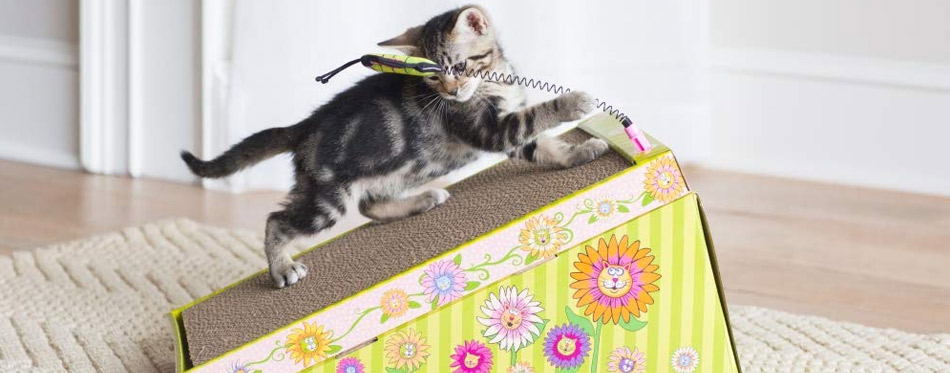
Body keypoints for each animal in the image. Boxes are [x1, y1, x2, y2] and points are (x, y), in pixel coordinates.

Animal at [179, 5, 608, 288]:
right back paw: (281, 267)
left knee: (369, 204)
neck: (492, 81)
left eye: (458, 67)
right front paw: (575, 102)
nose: (450, 92)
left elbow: (545, 147)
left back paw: (422, 200)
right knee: (277, 220)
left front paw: (579, 153)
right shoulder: (492, 129)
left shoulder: (509, 134)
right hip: (328, 199)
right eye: (432, 78)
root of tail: (306, 126)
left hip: (396, 171)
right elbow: (538, 115)